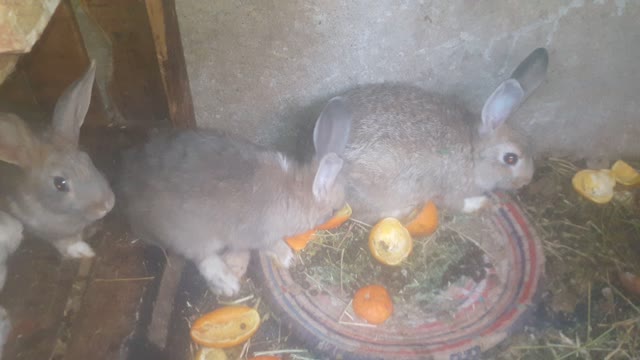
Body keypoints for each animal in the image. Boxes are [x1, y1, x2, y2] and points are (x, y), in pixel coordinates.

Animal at [119, 97, 350, 296]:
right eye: (333, 211)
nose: (340, 215)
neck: (295, 192)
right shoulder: (260, 234)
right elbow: (271, 245)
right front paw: (287, 257)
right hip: (197, 236)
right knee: (203, 259)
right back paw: (228, 284)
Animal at [330, 47, 552, 222]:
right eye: (510, 158)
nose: (526, 181)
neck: (473, 152)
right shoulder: (449, 189)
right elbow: (455, 203)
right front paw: (483, 204)